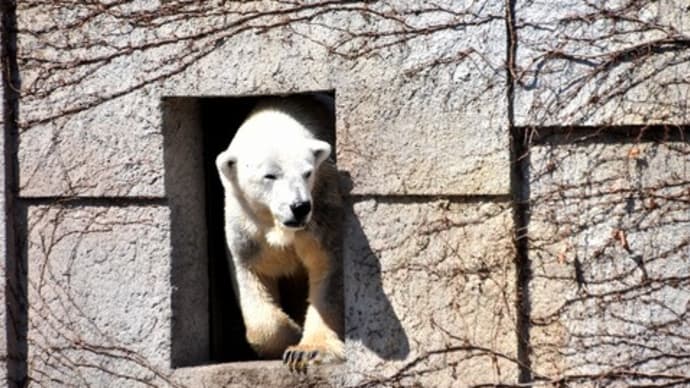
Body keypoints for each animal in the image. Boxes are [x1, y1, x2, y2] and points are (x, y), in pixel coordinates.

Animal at [215, 94, 344, 372]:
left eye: (307, 172)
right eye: (270, 175)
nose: (300, 207)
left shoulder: (323, 209)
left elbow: (326, 268)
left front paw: (306, 351)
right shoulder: (247, 228)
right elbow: (253, 275)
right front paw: (292, 332)